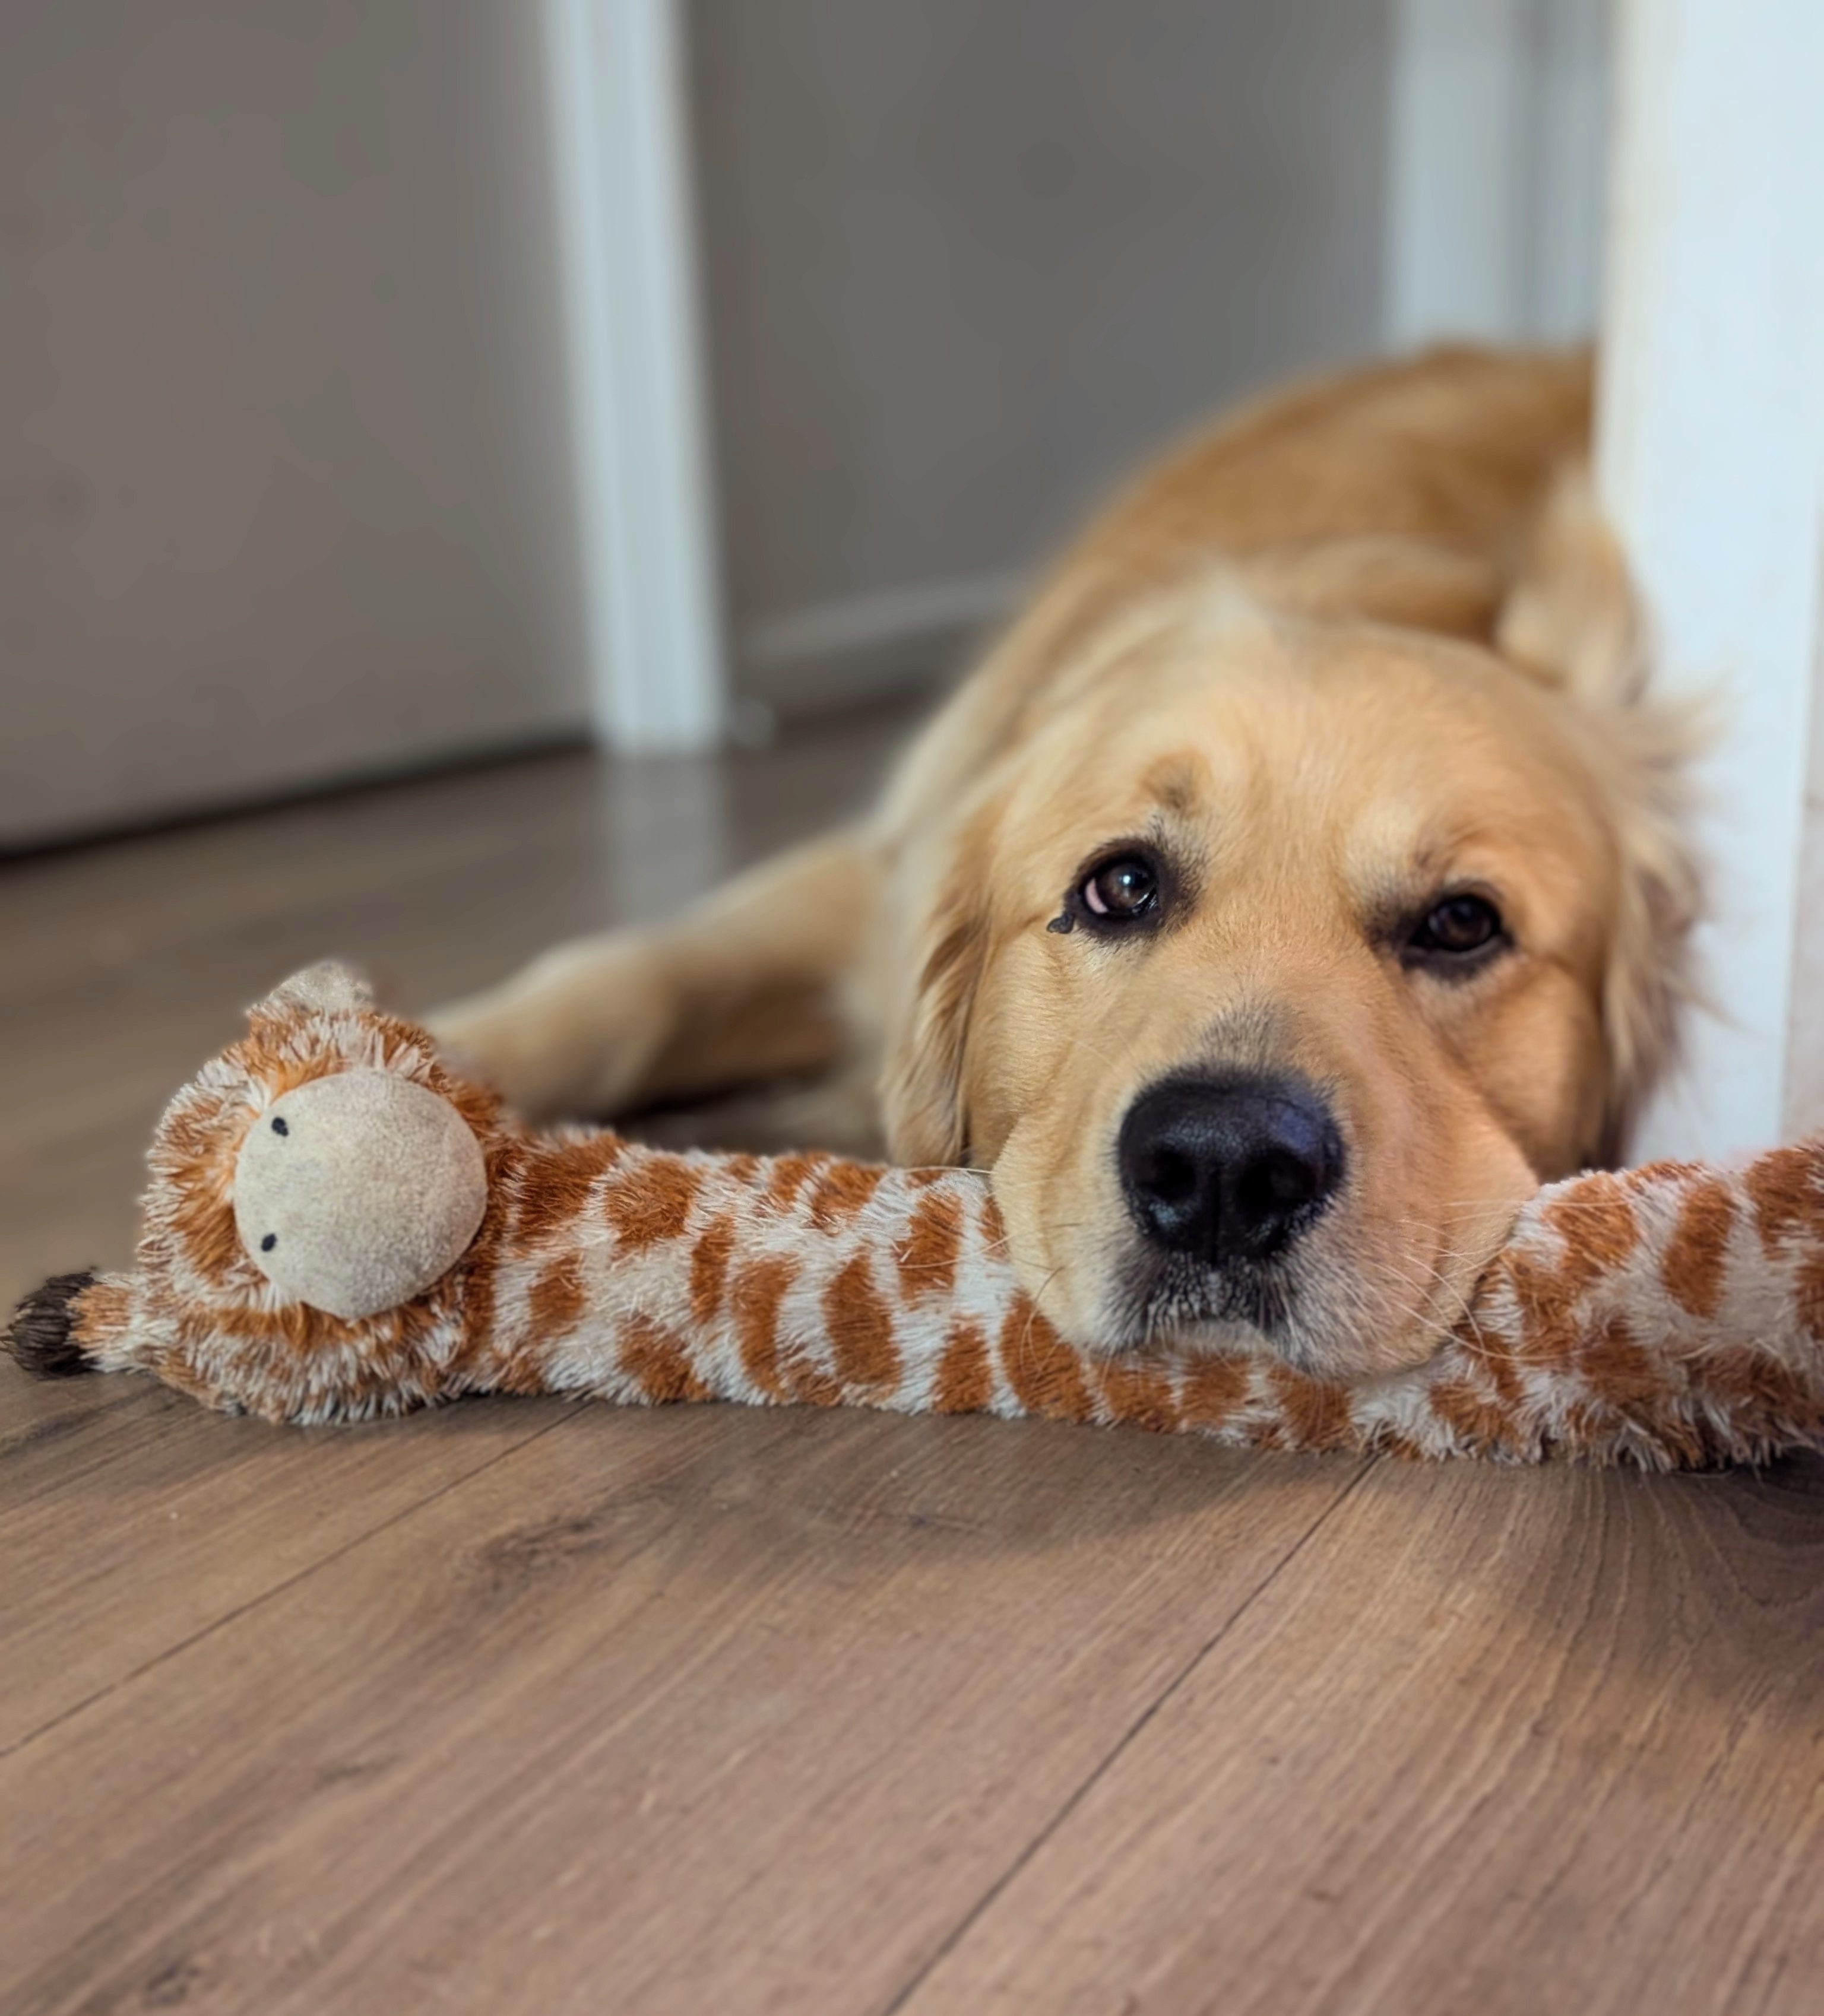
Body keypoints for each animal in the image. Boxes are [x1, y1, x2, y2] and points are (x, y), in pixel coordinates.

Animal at [433, 350, 1700, 1387]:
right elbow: (627, 978)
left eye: (1460, 923)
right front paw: (420, 1066)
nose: (1224, 1168)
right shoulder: (876, 878)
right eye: (1120, 886)